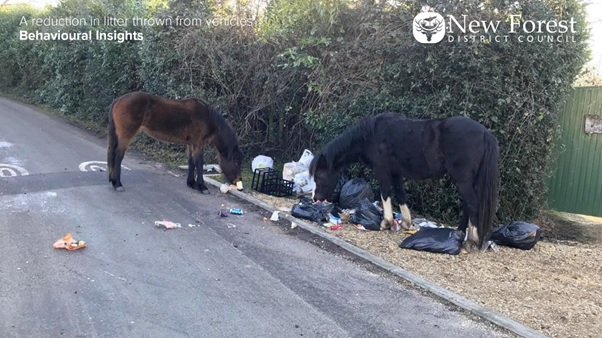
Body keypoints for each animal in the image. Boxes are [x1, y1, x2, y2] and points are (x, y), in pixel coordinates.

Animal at [108, 92, 241, 193]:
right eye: (236, 162)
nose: (238, 181)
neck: (208, 118)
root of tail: (119, 99)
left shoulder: (191, 144)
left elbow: (191, 162)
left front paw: (191, 183)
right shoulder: (198, 144)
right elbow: (199, 163)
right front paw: (202, 187)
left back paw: (113, 180)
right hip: (126, 136)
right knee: (118, 156)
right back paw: (118, 184)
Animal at [310, 113, 496, 251]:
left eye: (319, 176)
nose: (315, 198)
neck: (369, 136)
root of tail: (485, 133)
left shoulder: (383, 172)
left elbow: (386, 194)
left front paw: (386, 222)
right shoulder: (396, 173)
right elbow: (401, 194)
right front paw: (406, 223)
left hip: (463, 180)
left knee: (473, 204)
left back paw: (471, 241)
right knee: (468, 205)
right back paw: (459, 234)